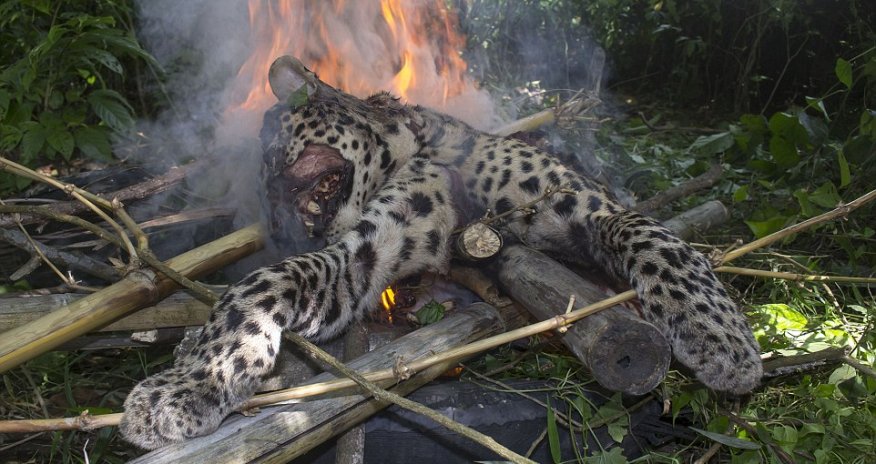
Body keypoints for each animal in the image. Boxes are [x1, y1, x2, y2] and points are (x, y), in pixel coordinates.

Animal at [120, 56, 762, 450]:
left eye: (279, 138)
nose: (276, 219)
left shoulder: (596, 207)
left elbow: (660, 242)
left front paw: (723, 341)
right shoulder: (362, 258)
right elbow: (261, 285)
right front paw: (188, 384)